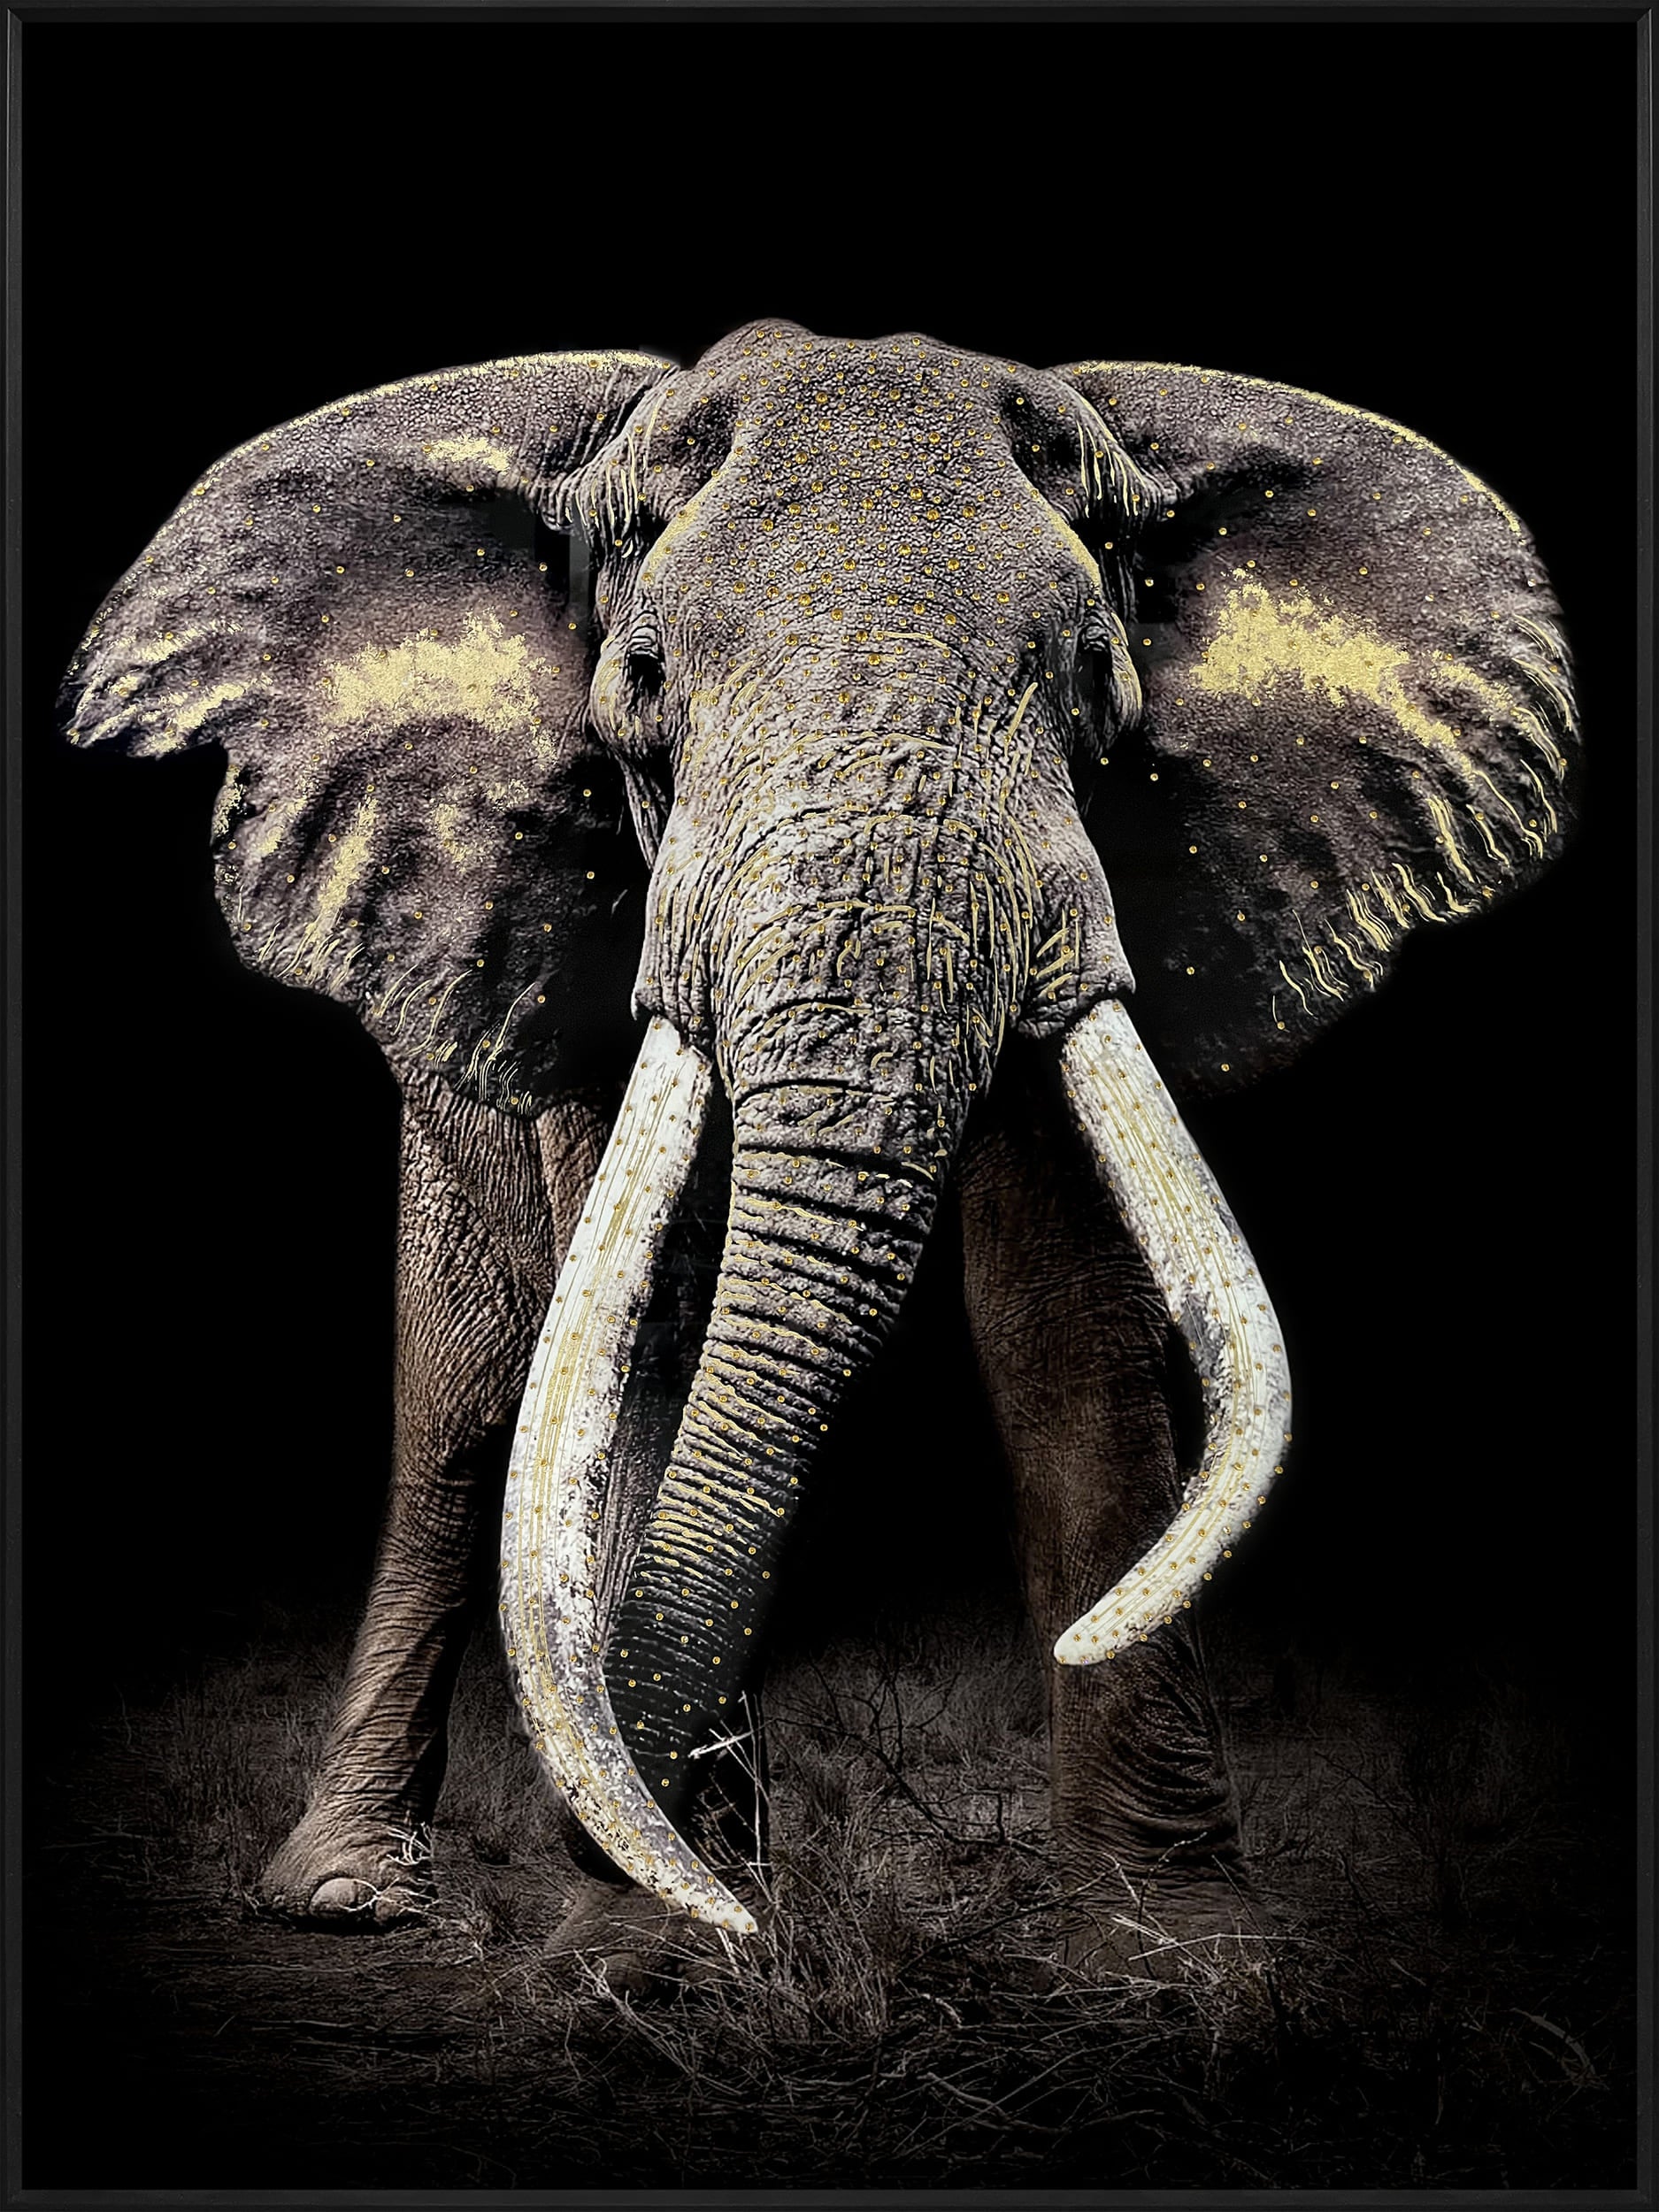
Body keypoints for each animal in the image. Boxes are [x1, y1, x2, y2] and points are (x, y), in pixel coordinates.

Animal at [61, 320, 1577, 1975]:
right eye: (642, 681)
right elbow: (646, 1331)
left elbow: (1067, 1323)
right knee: (461, 1403)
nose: (679, 1885)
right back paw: (347, 1894)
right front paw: (669, 1950)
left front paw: (1172, 1941)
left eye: (1092, 682)